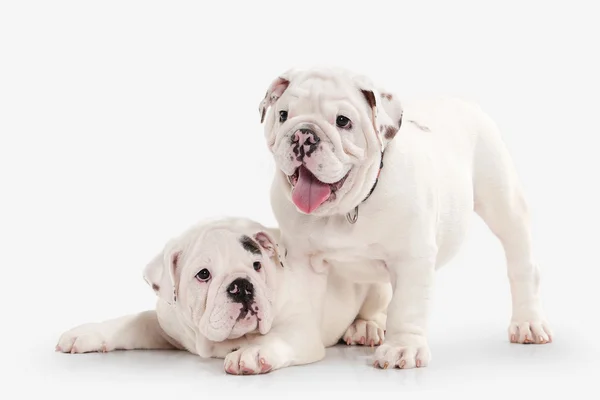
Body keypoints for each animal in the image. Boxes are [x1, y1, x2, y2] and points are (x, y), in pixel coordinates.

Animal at [56, 217, 392, 374]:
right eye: (203, 275)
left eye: (257, 265)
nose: (242, 285)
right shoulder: (167, 324)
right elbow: (132, 321)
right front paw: (86, 333)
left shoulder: (298, 330)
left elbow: (276, 338)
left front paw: (252, 353)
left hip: (374, 282)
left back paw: (365, 327)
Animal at [258, 67, 552, 370]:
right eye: (283, 115)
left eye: (343, 121)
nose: (303, 135)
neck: (350, 208)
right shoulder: (302, 260)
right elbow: (301, 304)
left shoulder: (413, 257)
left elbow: (406, 306)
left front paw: (402, 348)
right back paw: (366, 326)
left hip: (504, 204)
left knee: (522, 264)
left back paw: (528, 323)